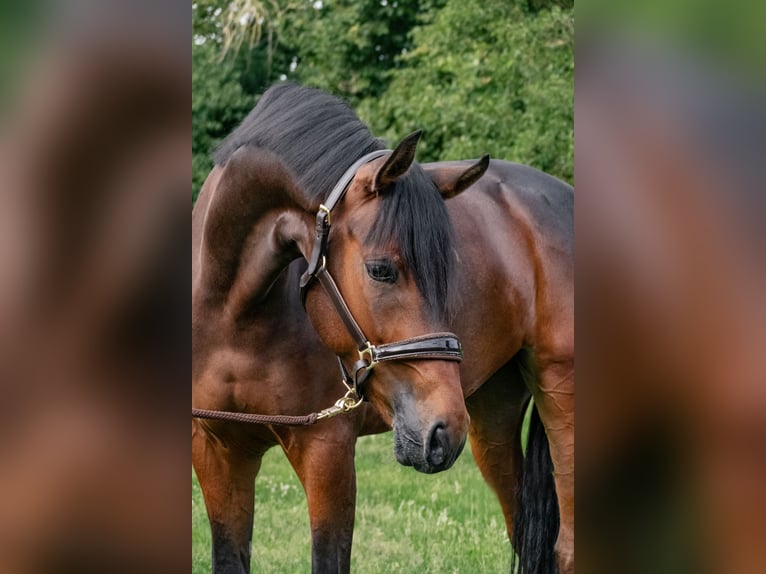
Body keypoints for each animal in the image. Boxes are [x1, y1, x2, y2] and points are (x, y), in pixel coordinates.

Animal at [192, 82, 576, 574]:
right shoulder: (217, 450)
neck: (234, 315)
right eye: (380, 270)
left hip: (559, 393)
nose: (442, 429)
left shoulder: (327, 451)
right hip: (492, 416)